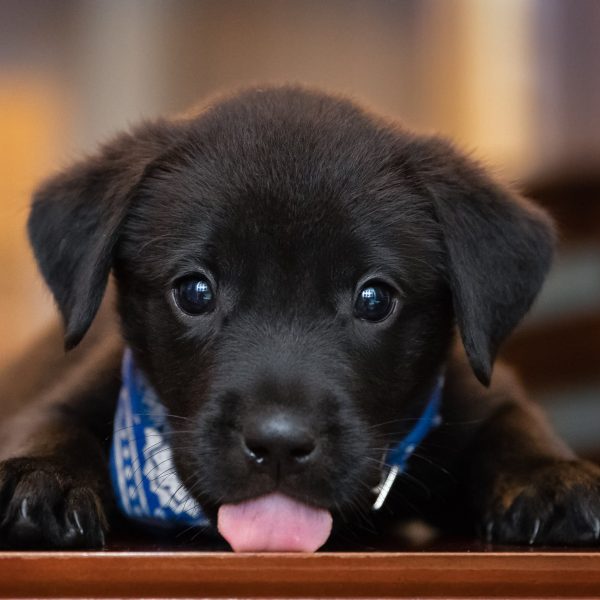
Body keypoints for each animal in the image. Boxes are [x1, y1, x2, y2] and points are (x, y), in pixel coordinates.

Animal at [1, 86, 600, 552]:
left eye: (374, 299)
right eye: (194, 292)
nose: (279, 444)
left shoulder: (477, 395)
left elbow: (516, 425)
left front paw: (552, 478)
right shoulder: (83, 384)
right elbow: (52, 420)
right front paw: (40, 476)